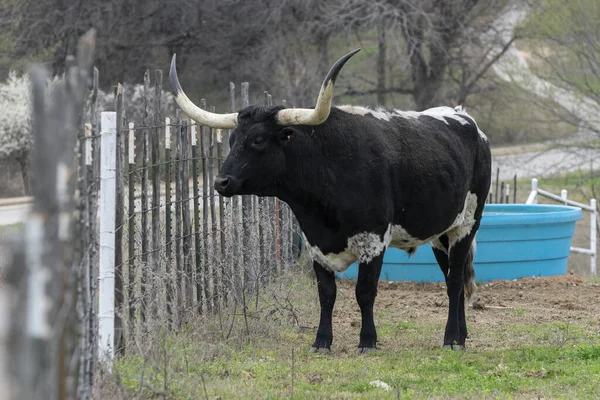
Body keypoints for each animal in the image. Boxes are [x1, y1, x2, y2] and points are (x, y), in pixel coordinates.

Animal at [169, 48, 492, 352]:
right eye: (232, 139)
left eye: (258, 140)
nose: (220, 182)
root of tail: (468, 121)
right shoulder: (315, 243)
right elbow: (326, 294)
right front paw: (321, 341)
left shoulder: (373, 240)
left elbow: (364, 292)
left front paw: (367, 341)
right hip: (441, 233)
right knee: (454, 278)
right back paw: (462, 335)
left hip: (468, 224)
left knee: (454, 281)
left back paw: (451, 338)